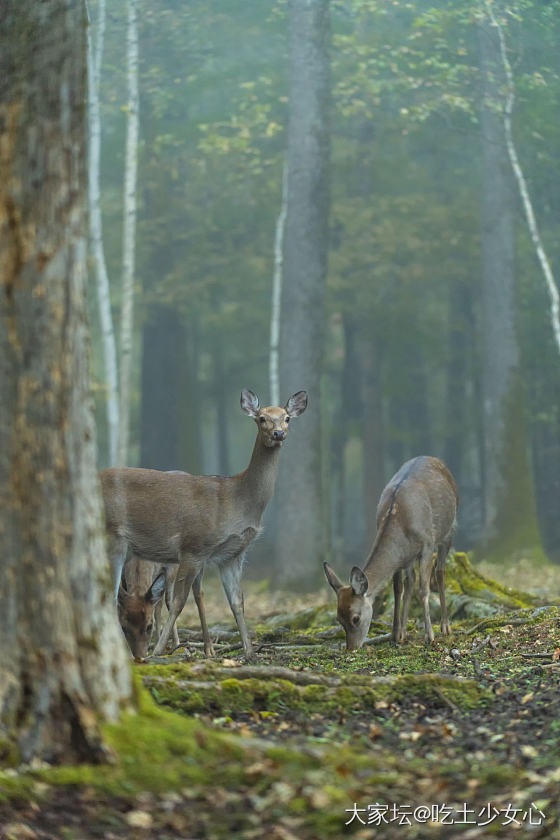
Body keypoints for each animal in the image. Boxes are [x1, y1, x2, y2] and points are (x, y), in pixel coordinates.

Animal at [102, 388, 308, 656]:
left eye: (287, 418)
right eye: (262, 418)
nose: (279, 433)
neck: (238, 501)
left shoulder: (233, 554)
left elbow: (237, 601)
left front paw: (249, 652)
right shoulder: (193, 546)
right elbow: (178, 601)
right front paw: (159, 650)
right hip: (112, 538)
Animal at [322, 456, 458, 652]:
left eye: (356, 618)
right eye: (339, 619)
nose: (351, 648)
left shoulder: (427, 544)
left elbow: (423, 590)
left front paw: (429, 636)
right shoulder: (401, 559)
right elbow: (398, 589)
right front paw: (396, 634)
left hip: (449, 530)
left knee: (440, 572)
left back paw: (445, 626)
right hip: (411, 557)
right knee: (410, 582)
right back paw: (404, 632)